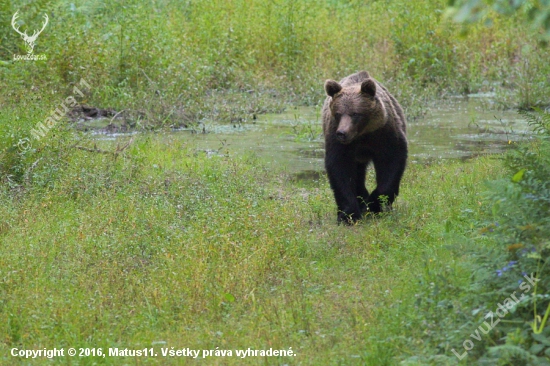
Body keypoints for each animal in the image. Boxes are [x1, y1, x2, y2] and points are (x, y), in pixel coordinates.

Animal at [322, 69, 408, 223]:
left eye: (355, 113)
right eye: (338, 113)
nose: (342, 133)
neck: (362, 135)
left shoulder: (385, 134)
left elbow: (391, 162)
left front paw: (375, 204)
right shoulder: (338, 142)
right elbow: (340, 170)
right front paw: (348, 214)